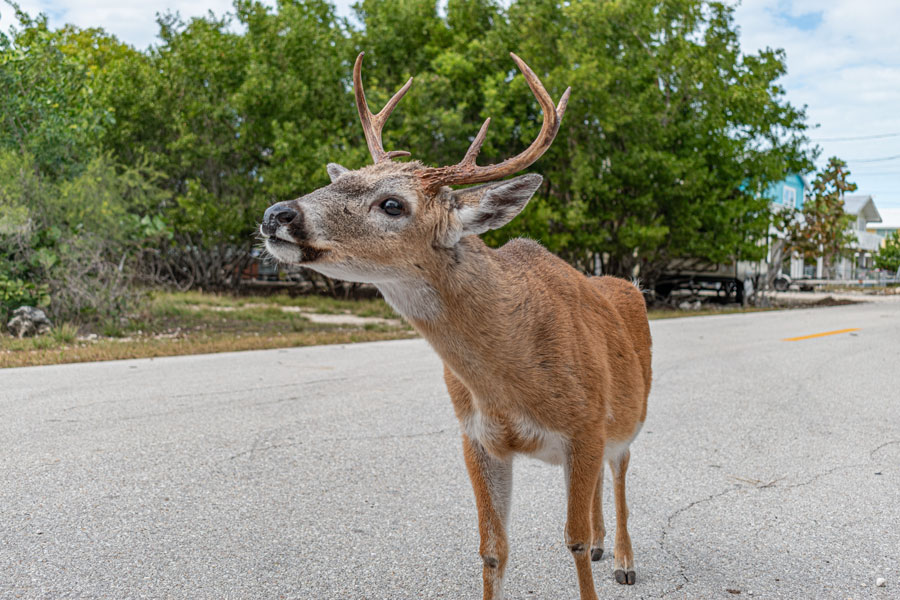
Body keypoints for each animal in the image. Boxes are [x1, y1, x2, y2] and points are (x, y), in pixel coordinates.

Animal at [262, 50, 652, 600]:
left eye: (392, 203)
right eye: (338, 181)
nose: (278, 213)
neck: (513, 380)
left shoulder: (586, 424)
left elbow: (571, 541)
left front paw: (596, 557)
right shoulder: (476, 436)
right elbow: (492, 550)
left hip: (628, 416)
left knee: (619, 472)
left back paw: (621, 560)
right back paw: (604, 546)